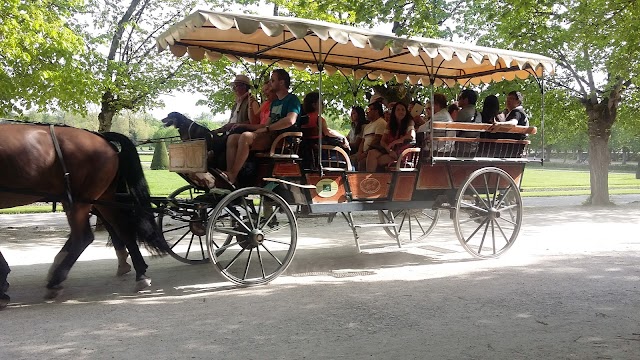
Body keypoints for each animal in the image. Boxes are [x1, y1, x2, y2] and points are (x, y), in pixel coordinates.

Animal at [0, 124, 170, 310]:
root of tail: (100, 137)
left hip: (79, 200)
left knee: (84, 237)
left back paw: (56, 281)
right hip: (100, 198)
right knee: (121, 229)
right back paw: (140, 273)